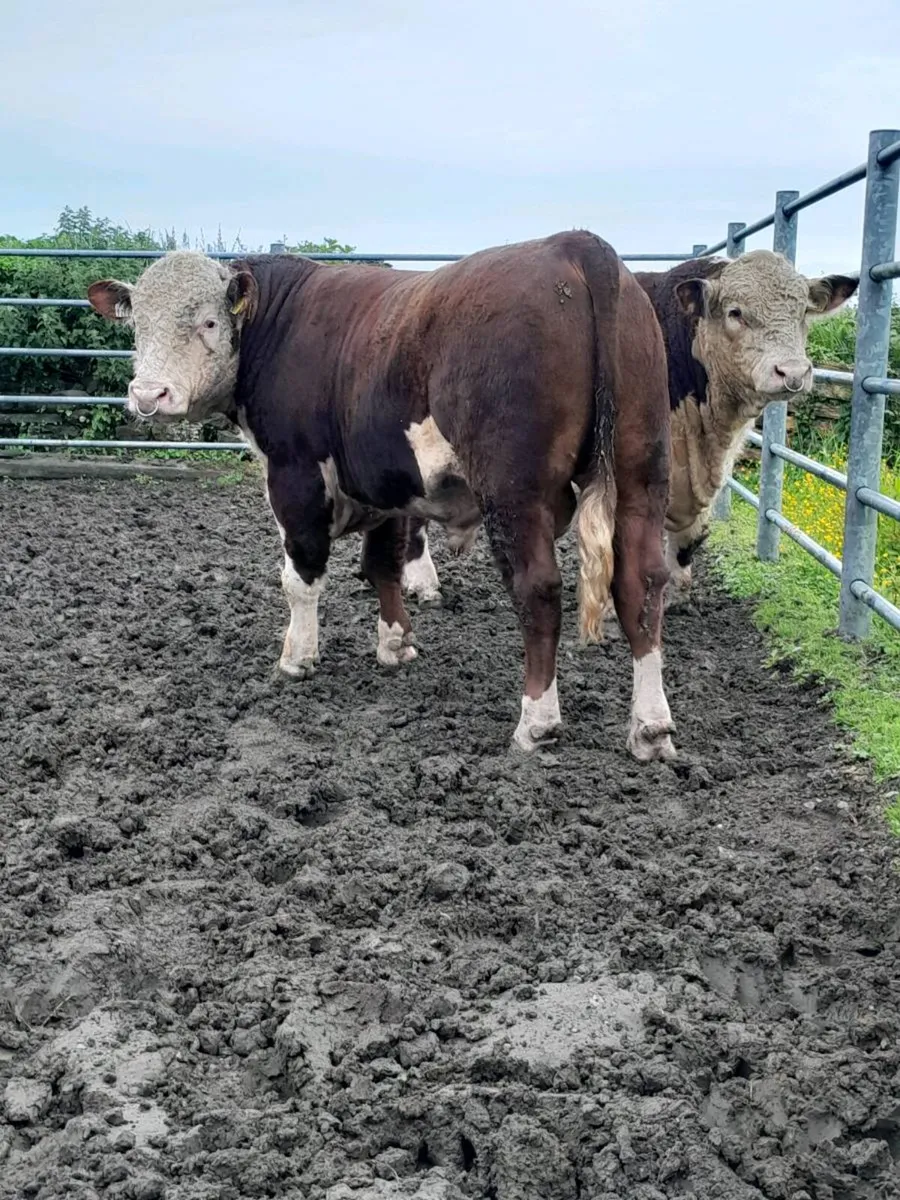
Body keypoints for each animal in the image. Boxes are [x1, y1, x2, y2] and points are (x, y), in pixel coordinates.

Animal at [87, 232, 676, 761]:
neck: (278, 323)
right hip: (641, 473)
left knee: (538, 591)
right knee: (641, 583)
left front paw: (297, 656)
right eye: (137, 324)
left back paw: (537, 722)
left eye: (209, 322)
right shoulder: (387, 482)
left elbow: (301, 575)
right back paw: (650, 726)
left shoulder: (294, 473)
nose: (148, 395)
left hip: (515, 491)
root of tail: (573, 245)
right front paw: (395, 643)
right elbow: (383, 564)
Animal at [399, 250, 858, 611]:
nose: (792, 372)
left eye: (803, 312)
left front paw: (678, 593)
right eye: (736, 312)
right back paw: (422, 580)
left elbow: (691, 536)